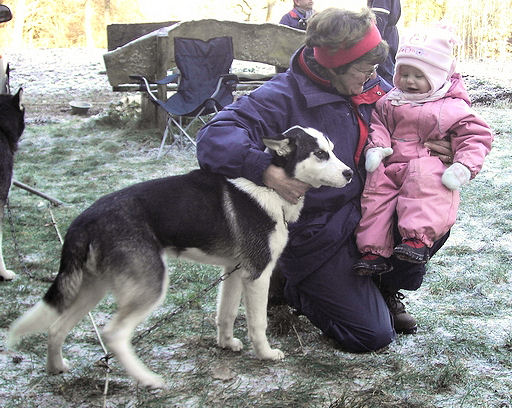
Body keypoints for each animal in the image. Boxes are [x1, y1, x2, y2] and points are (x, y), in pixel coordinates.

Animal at [8, 125, 354, 388]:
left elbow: (226, 314)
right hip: (148, 287)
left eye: (332, 149)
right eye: (320, 154)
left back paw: (57, 367)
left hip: (92, 289)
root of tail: (85, 218)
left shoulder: (234, 271)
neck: (268, 189)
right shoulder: (257, 274)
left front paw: (226, 344)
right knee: (113, 335)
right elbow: (258, 323)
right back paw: (148, 379)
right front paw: (266, 354)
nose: (351, 173)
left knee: (56, 326)